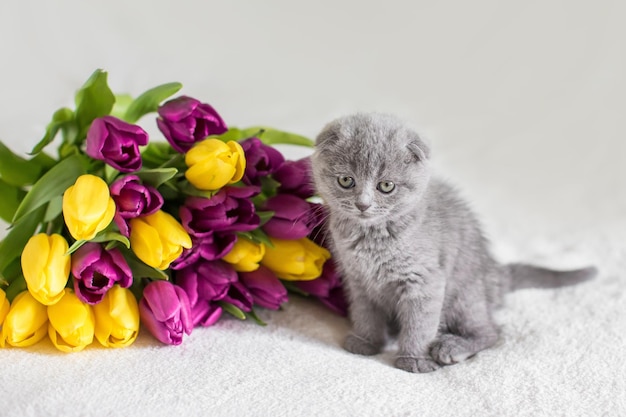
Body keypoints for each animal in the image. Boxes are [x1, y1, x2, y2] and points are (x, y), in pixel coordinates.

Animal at [310, 112, 596, 372]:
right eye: (346, 180)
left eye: (386, 186)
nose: (363, 204)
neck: (371, 236)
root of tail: (495, 274)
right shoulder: (358, 280)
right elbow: (365, 313)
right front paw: (366, 342)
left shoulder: (425, 281)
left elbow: (420, 324)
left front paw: (413, 359)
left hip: (463, 294)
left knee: (491, 331)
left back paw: (451, 347)